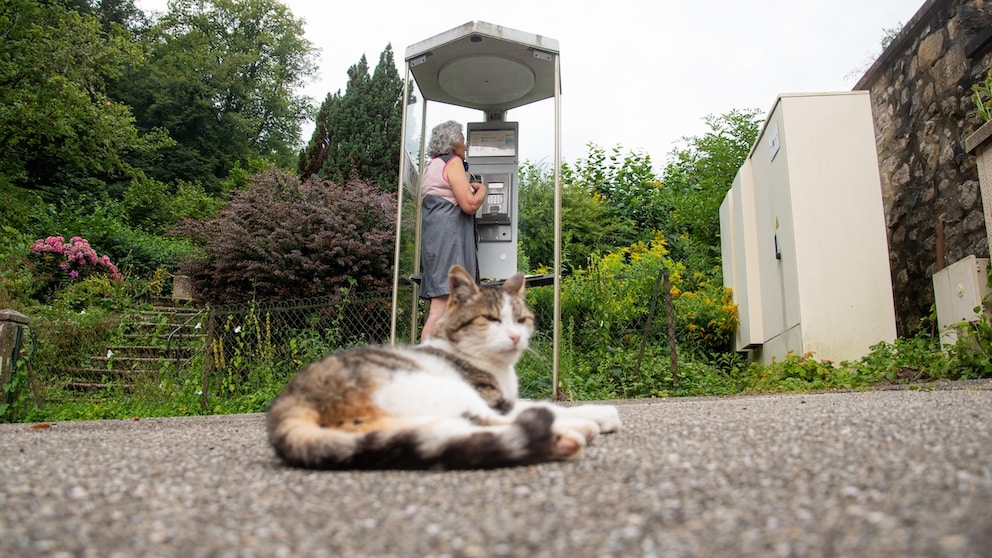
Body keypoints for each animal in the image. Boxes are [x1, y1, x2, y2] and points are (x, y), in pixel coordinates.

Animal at [266, 264, 620, 470]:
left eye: (522, 319)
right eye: (490, 319)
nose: (516, 336)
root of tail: (290, 400)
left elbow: (534, 402)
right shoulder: (492, 397)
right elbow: (538, 406)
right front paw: (595, 414)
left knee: (449, 433)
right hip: (439, 387)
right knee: (491, 421)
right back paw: (571, 432)